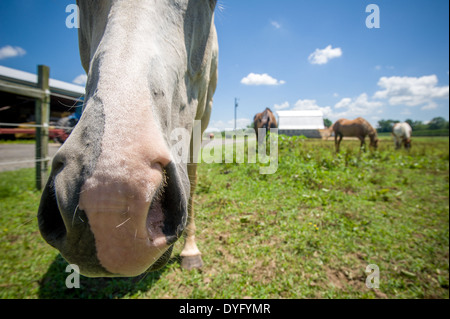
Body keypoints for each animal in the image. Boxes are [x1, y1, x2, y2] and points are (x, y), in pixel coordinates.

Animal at [37, 0, 218, 278]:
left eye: (211, 2)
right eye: (79, 3)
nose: (107, 200)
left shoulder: (203, 114)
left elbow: (194, 179)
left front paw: (191, 251)